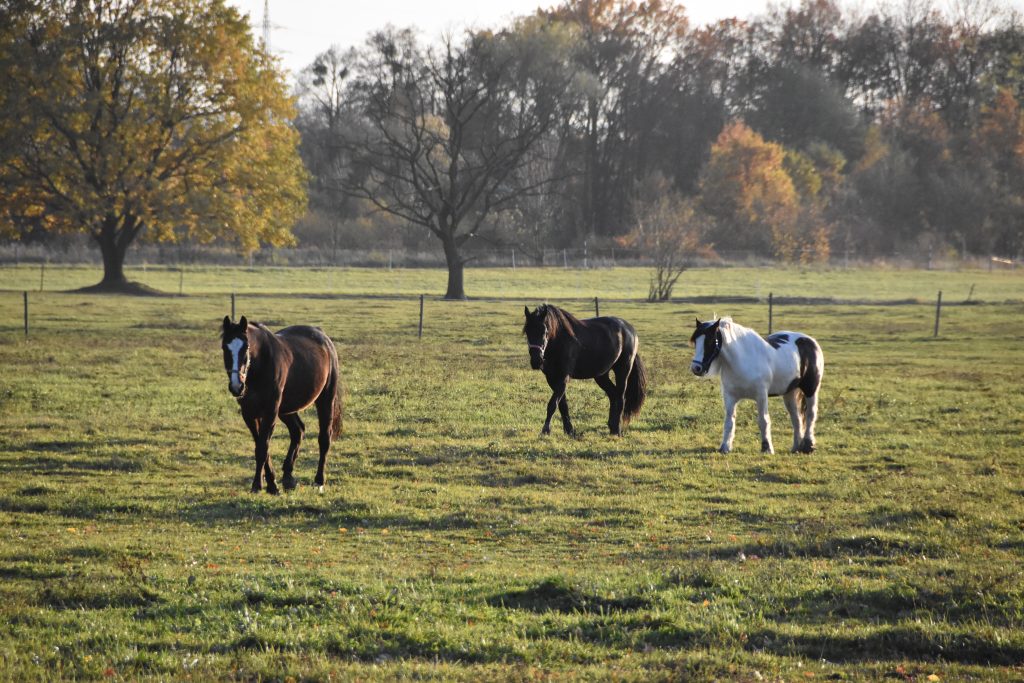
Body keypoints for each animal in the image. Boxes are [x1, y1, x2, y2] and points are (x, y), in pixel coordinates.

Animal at [220, 317, 344, 493]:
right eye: (225, 347)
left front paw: (261, 485)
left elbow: (262, 448)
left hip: (325, 400)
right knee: (298, 431)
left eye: (246, 347)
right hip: (286, 410)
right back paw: (288, 476)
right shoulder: (249, 414)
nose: (237, 386)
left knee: (324, 438)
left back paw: (319, 480)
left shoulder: (270, 412)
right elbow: (261, 447)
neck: (260, 366)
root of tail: (323, 337)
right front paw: (269, 482)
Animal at [524, 305, 643, 438]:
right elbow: (562, 405)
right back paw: (612, 426)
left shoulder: (563, 377)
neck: (559, 340)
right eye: (527, 331)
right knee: (613, 395)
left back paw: (617, 429)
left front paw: (545, 430)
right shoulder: (551, 378)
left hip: (623, 370)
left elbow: (552, 404)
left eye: (545, 331)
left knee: (621, 397)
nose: (536, 360)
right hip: (601, 375)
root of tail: (630, 329)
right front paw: (569, 430)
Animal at [688, 319, 823, 454]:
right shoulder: (729, 397)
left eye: (711, 341)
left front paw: (767, 448)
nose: (696, 368)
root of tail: (810, 341)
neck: (742, 360)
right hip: (789, 392)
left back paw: (808, 445)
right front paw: (725, 447)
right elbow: (729, 421)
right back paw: (796, 448)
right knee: (796, 418)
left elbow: (763, 420)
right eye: (695, 341)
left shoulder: (761, 396)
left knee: (810, 415)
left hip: (811, 390)